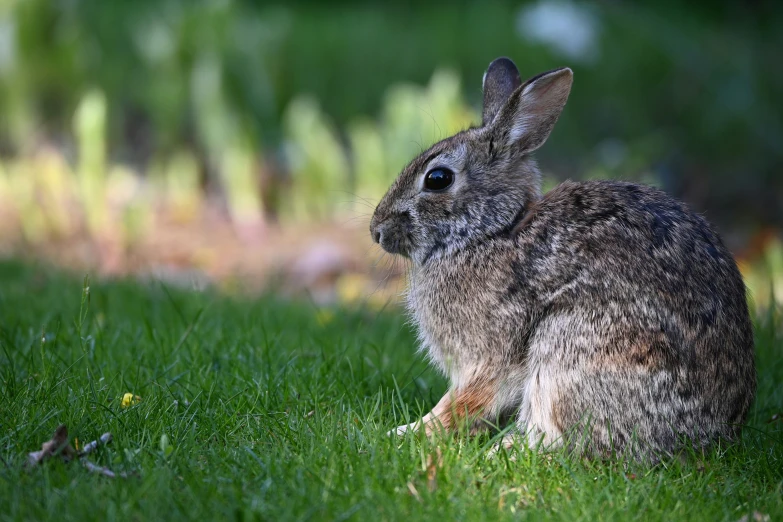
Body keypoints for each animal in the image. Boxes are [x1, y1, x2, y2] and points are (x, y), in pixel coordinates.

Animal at [370, 54, 756, 458]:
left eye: (438, 178)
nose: (376, 230)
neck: (493, 230)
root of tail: (709, 436)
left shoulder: (489, 356)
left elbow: (464, 402)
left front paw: (408, 432)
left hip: (572, 347)